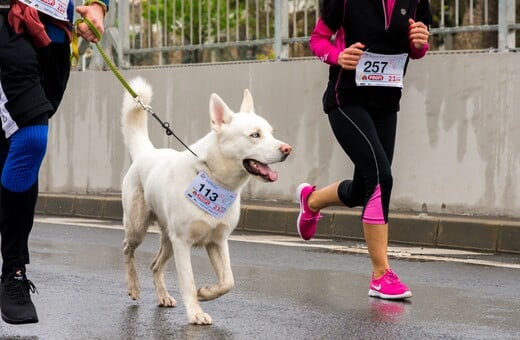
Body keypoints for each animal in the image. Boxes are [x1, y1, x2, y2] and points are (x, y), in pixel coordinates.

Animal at [121, 78, 292, 326]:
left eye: (270, 133)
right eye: (255, 135)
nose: (288, 149)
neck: (213, 177)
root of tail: (146, 153)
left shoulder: (218, 242)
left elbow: (228, 282)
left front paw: (206, 292)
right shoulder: (183, 242)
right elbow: (188, 282)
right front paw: (196, 312)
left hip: (168, 240)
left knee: (154, 265)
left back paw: (162, 295)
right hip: (138, 228)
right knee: (127, 249)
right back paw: (133, 286)